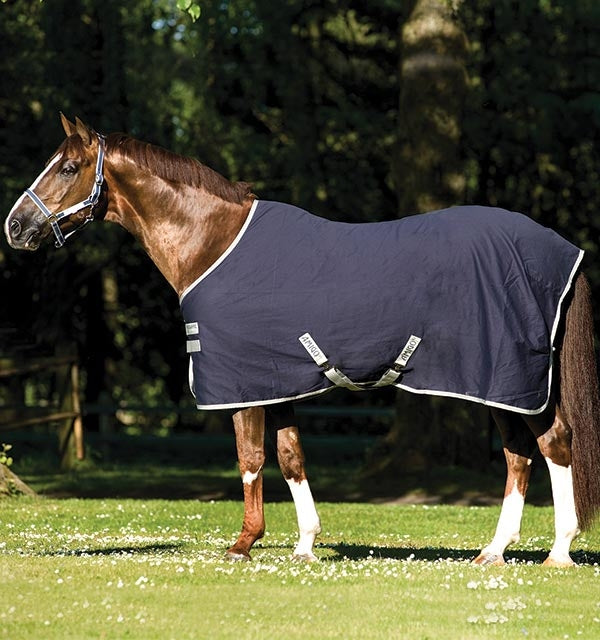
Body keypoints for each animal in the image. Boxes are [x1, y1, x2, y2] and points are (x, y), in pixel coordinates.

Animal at [5, 115, 600, 567]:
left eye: (68, 167)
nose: (15, 226)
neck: (214, 242)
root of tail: (560, 250)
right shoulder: (279, 381)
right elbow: (291, 456)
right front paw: (306, 545)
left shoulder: (242, 384)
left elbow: (249, 458)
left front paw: (243, 544)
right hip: (500, 386)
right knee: (519, 456)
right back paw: (494, 551)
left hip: (510, 380)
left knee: (554, 445)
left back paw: (559, 552)